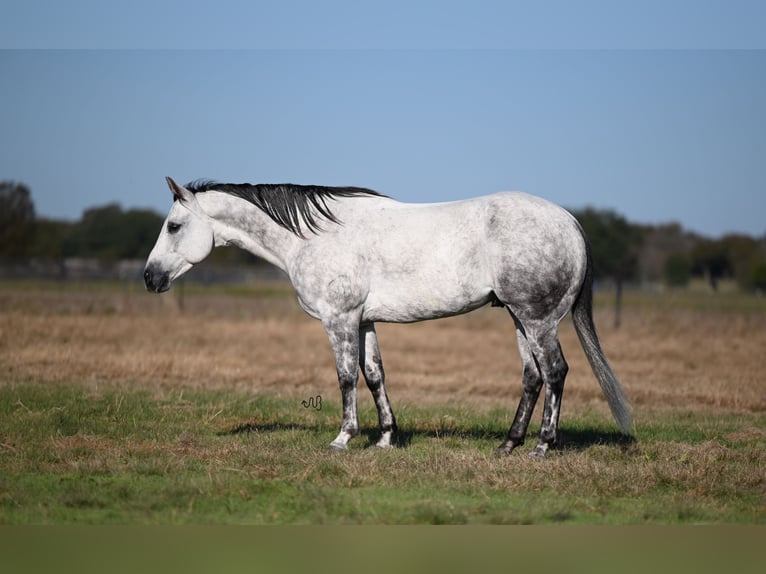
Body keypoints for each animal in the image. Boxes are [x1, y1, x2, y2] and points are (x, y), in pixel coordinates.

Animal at [144, 177, 632, 457]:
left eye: (173, 226)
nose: (149, 277)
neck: (313, 236)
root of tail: (569, 222)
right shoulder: (363, 321)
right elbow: (375, 373)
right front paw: (384, 437)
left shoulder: (339, 319)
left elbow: (345, 377)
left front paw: (343, 439)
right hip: (518, 318)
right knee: (532, 377)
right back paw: (508, 444)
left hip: (538, 320)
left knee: (556, 372)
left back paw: (543, 446)